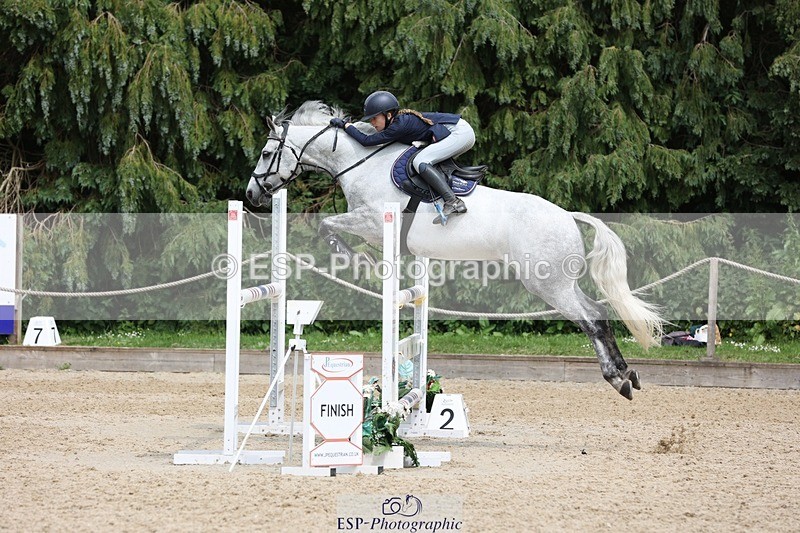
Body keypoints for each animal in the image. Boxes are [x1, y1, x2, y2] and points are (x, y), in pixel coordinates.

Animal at [246, 101, 663, 400]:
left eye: (266, 154)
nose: (251, 195)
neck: (360, 163)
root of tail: (568, 217)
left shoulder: (372, 221)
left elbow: (327, 226)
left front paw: (353, 259)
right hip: (561, 283)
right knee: (598, 313)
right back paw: (626, 375)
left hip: (548, 285)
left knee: (591, 320)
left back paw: (617, 379)